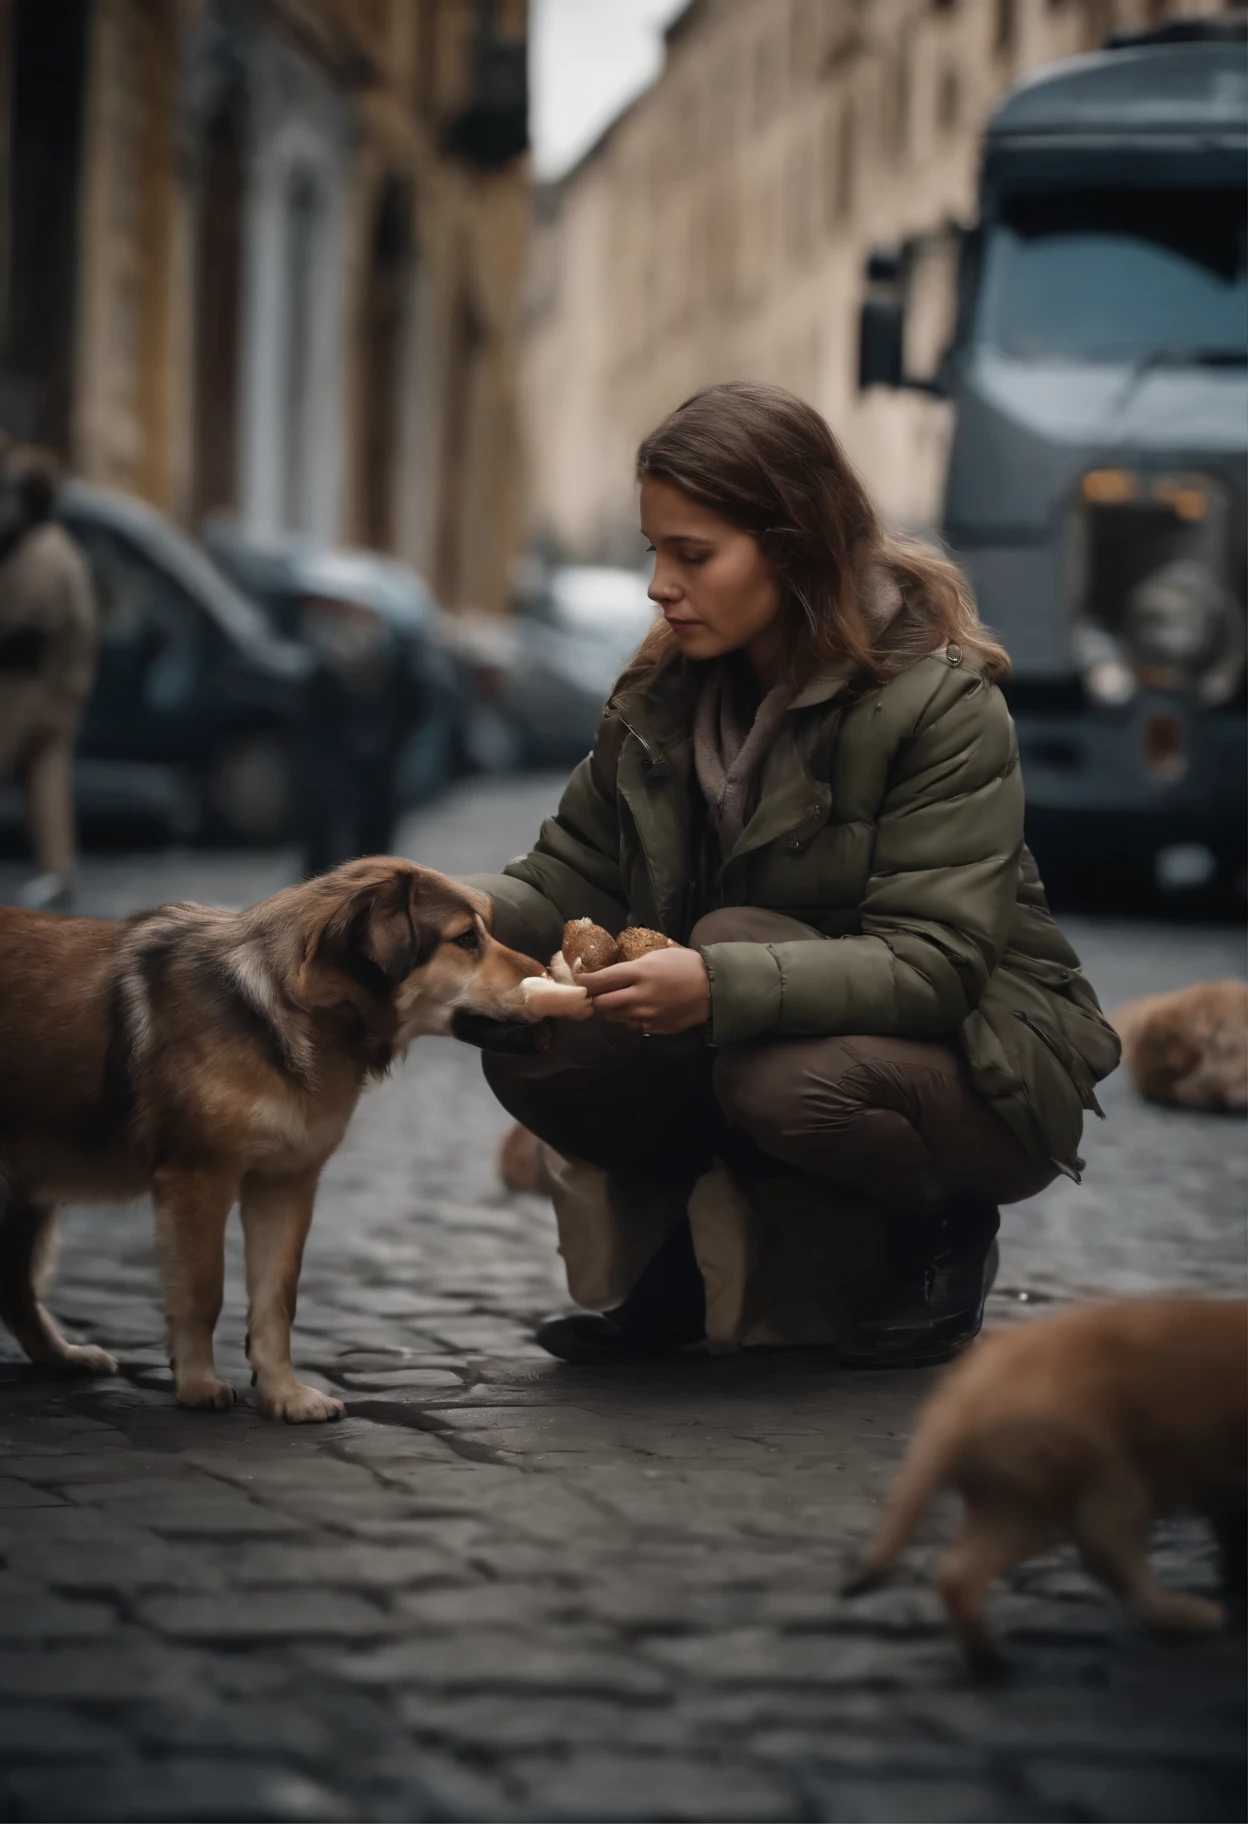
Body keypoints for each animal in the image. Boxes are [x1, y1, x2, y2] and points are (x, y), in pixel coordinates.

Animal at [1, 857, 547, 1422]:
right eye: (466, 939)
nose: (551, 973)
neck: (295, 1010)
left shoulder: (285, 1182)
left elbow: (276, 1298)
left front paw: (284, 1395)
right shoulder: (197, 1180)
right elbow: (203, 1292)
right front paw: (197, 1384)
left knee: (14, 1290)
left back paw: (64, 1356)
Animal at [846, 1298, 1248, 1670]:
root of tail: (961, 1408)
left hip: (1012, 1497)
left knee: (960, 1574)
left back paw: (987, 1661)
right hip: (1102, 1482)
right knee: (1110, 1558)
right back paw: (1186, 1613)